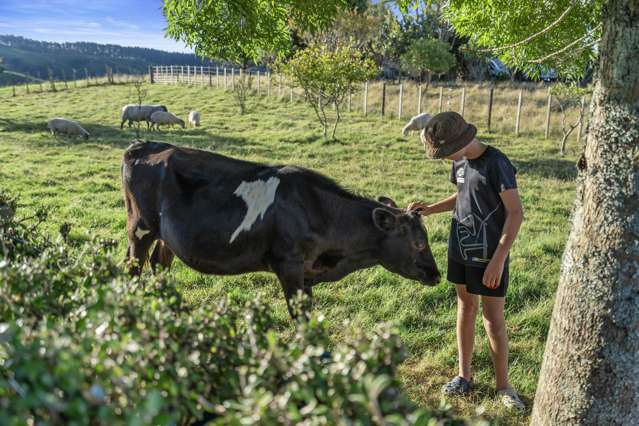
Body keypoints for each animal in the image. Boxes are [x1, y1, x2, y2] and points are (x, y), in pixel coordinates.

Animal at [121, 141, 440, 318]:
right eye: (419, 243)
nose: (436, 275)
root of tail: (144, 144)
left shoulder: (307, 273)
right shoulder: (288, 266)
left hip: (166, 235)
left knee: (159, 263)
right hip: (140, 228)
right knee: (134, 267)